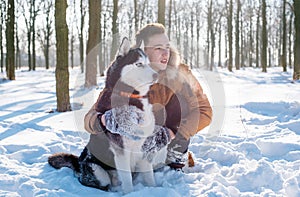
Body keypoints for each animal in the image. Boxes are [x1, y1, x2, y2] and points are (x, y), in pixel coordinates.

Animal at [48, 37, 170, 194]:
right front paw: (130, 194)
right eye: (139, 64)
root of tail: (78, 163)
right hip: (99, 173)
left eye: (148, 63)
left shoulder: (143, 149)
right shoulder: (121, 152)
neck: (130, 96)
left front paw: (153, 189)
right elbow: (127, 181)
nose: (157, 75)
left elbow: (149, 176)